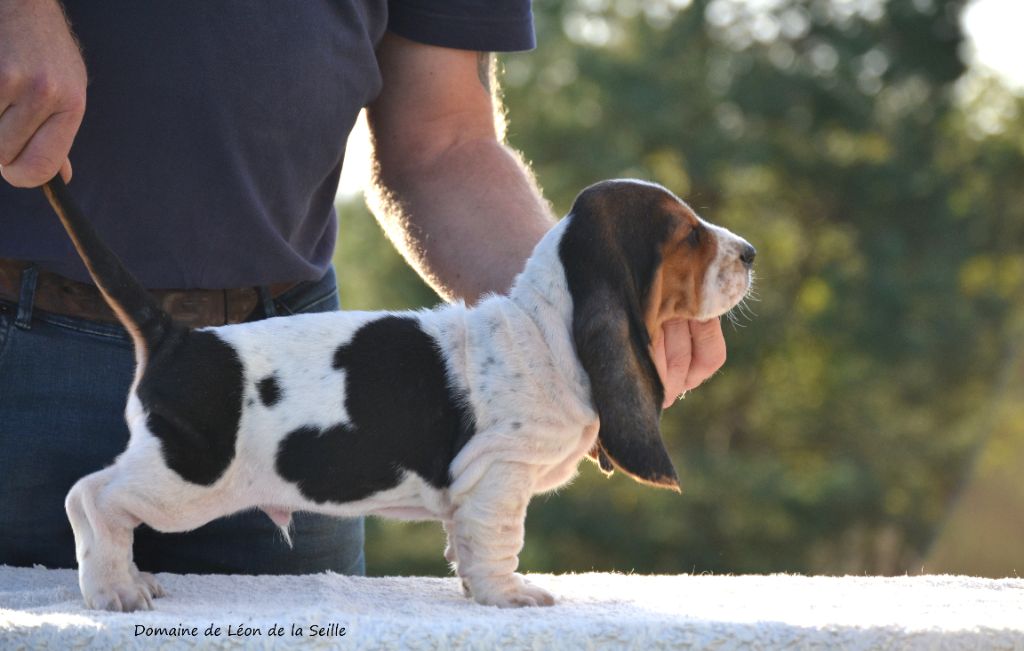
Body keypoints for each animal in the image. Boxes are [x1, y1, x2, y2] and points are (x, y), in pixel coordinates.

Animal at [41, 174, 753, 610]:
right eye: (688, 234)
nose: (749, 252)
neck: (548, 324)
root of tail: (176, 337)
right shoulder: (499, 473)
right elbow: (499, 539)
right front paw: (507, 597)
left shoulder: (473, 487)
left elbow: (466, 541)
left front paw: (474, 586)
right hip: (189, 477)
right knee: (92, 498)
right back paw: (113, 590)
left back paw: (130, 578)